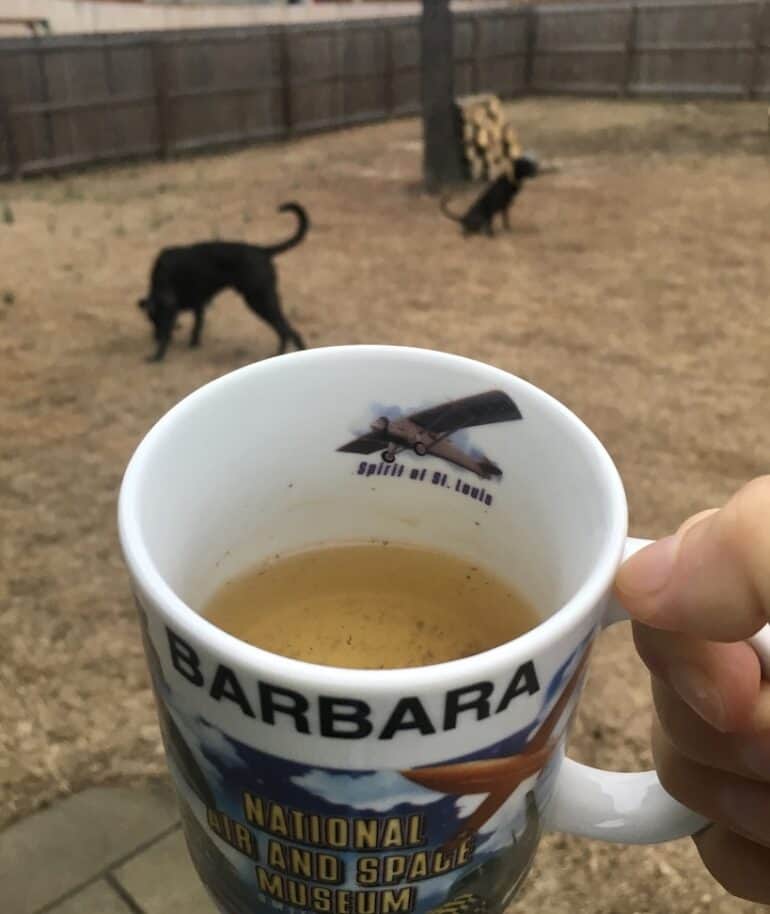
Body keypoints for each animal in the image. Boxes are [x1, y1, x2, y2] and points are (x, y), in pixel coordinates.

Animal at [140, 203, 308, 360]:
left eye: (155, 319)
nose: (156, 336)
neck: (162, 273)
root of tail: (261, 251)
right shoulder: (196, 304)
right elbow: (197, 325)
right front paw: (193, 343)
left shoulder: (177, 306)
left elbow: (182, 329)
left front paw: (157, 356)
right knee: (285, 330)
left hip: (259, 301)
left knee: (287, 330)